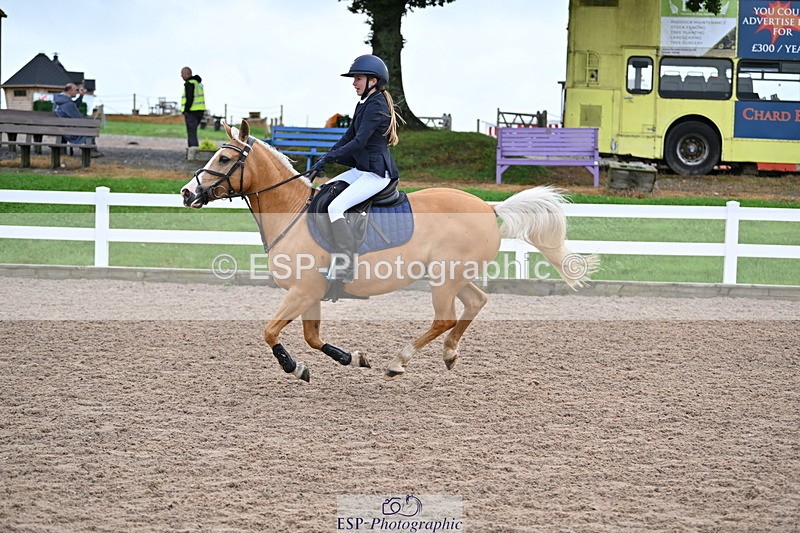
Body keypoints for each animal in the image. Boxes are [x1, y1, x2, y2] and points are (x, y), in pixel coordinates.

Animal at [181, 120, 598, 382]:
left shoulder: (302, 291)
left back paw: (400, 362)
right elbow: (312, 337)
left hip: (443, 280)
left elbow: (269, 332)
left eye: (224, 159)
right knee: (475, 303)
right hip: (452, 276)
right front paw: (351, 358)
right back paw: (449, 354)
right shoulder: (310, 294)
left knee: (445, 318)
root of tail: (488, 207)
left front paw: (293, 367)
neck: (292, 212)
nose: (186, 193)